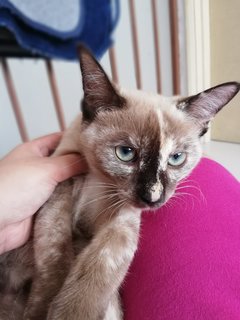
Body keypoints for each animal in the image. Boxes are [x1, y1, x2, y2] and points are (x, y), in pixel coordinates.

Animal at [0, 45, 240, 320]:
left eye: (176, 159)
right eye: (125, 153)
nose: (153, 198)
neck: (100, 182)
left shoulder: (123, 216)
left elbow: (101, 266)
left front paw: (71, 312)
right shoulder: (61, 188)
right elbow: (54, 256)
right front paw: (42, 310)